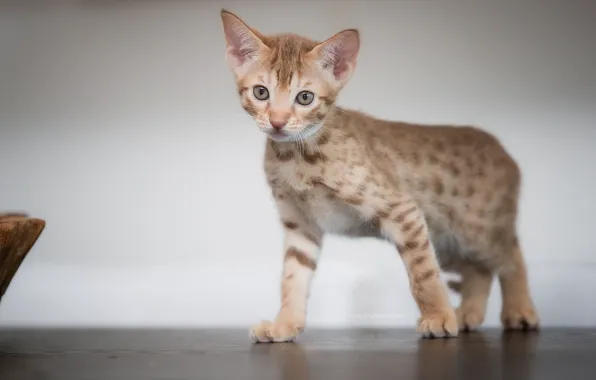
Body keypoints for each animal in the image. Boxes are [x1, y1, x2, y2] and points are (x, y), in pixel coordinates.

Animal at [219, 8, 540, 342]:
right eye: (261, 92)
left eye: (305, 98)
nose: (278, 122)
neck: (296, 155)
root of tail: (499, 147)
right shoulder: (300, 225)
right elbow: (293, 278)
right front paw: (284, 324)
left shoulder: (403, 210)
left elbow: (424, 274)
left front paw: (438, 316)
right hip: (445, 238)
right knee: (479, 270)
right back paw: (468, 313)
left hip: (477, 229)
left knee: (511, 257)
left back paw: (518, 310)